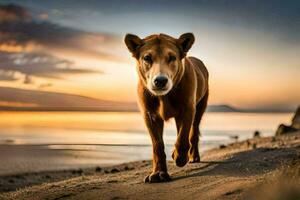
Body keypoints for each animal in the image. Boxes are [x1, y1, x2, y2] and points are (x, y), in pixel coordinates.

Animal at [124, 32, 209, 183]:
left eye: (172, 58)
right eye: (147, 58)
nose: (160, 80)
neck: (164, 96)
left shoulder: (188, 109)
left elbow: (183, 138)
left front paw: (180, 157)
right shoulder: (149, 115)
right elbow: (157, 145)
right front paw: (159, 172)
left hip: (200, 107)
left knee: (193, 132)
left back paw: (193, 156)